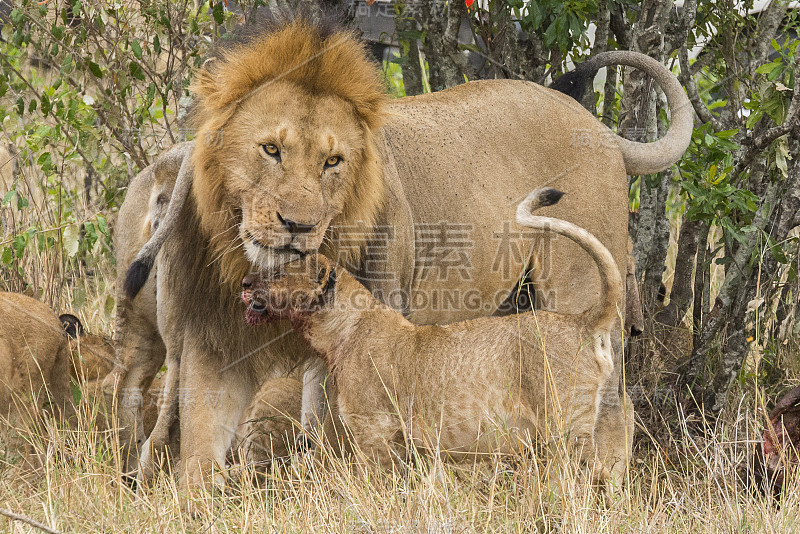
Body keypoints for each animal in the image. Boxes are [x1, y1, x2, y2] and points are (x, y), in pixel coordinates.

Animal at [238, 188, 624, 482]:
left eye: (277, 273)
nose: (243, 283)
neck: (339, 331)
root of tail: (582, 320)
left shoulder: (375, 433)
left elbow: (379, 489)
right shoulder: (404, 445)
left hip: (565, 423)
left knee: (591, 474)